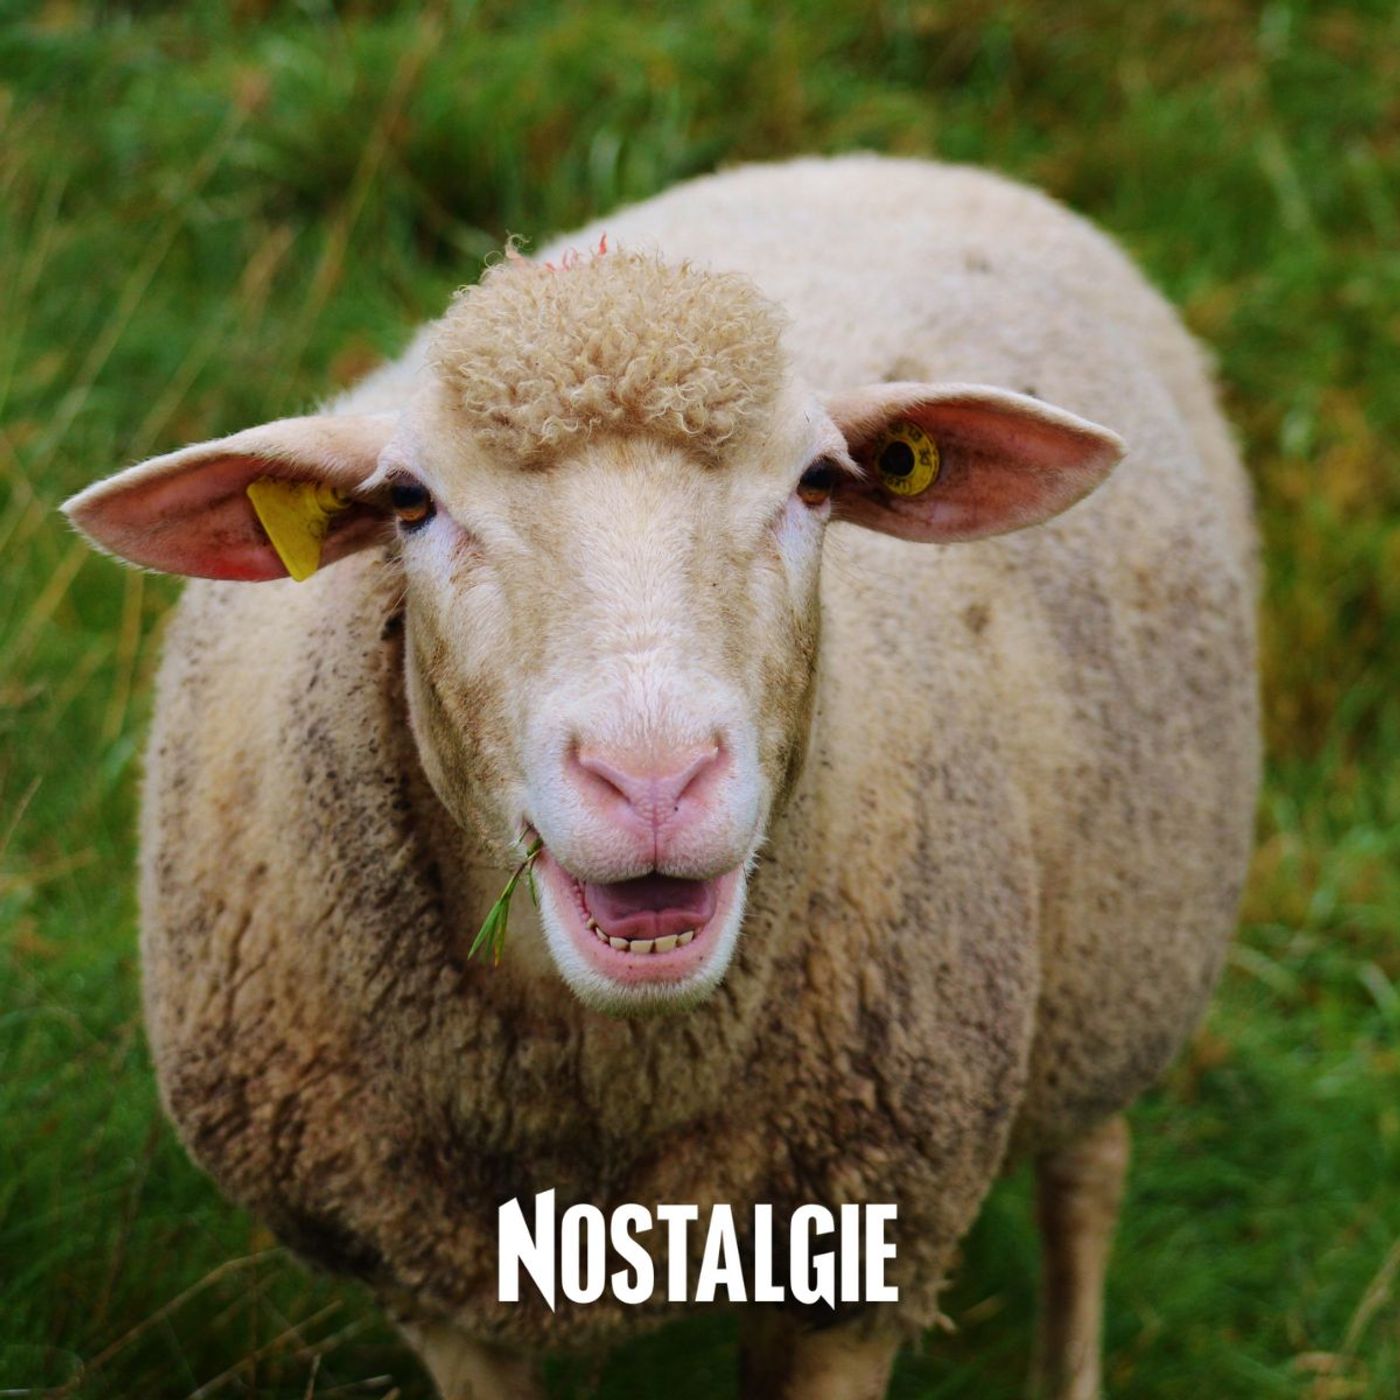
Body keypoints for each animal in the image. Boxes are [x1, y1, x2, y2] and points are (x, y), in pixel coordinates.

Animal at [63, 153, 1259, 1400]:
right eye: (409, 502)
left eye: (818, 482)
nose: (651, 781)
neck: (600, 1097)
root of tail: (911, 164)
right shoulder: (438, 1289)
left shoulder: (857, 1261)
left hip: (1117, 960)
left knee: (1086, 1176)